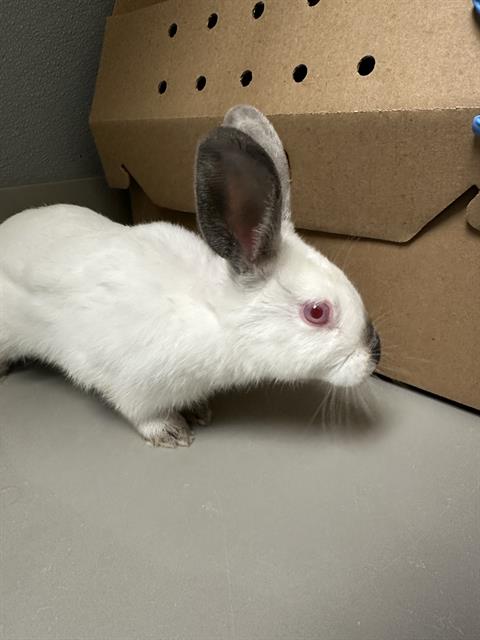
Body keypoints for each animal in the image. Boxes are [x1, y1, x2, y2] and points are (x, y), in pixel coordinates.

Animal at [0, 105, 380, 448]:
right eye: (317, 312)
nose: (374, 355)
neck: (213, 317)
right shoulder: (129, 382)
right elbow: (141, 413)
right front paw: (171, 432)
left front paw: (199, 411)